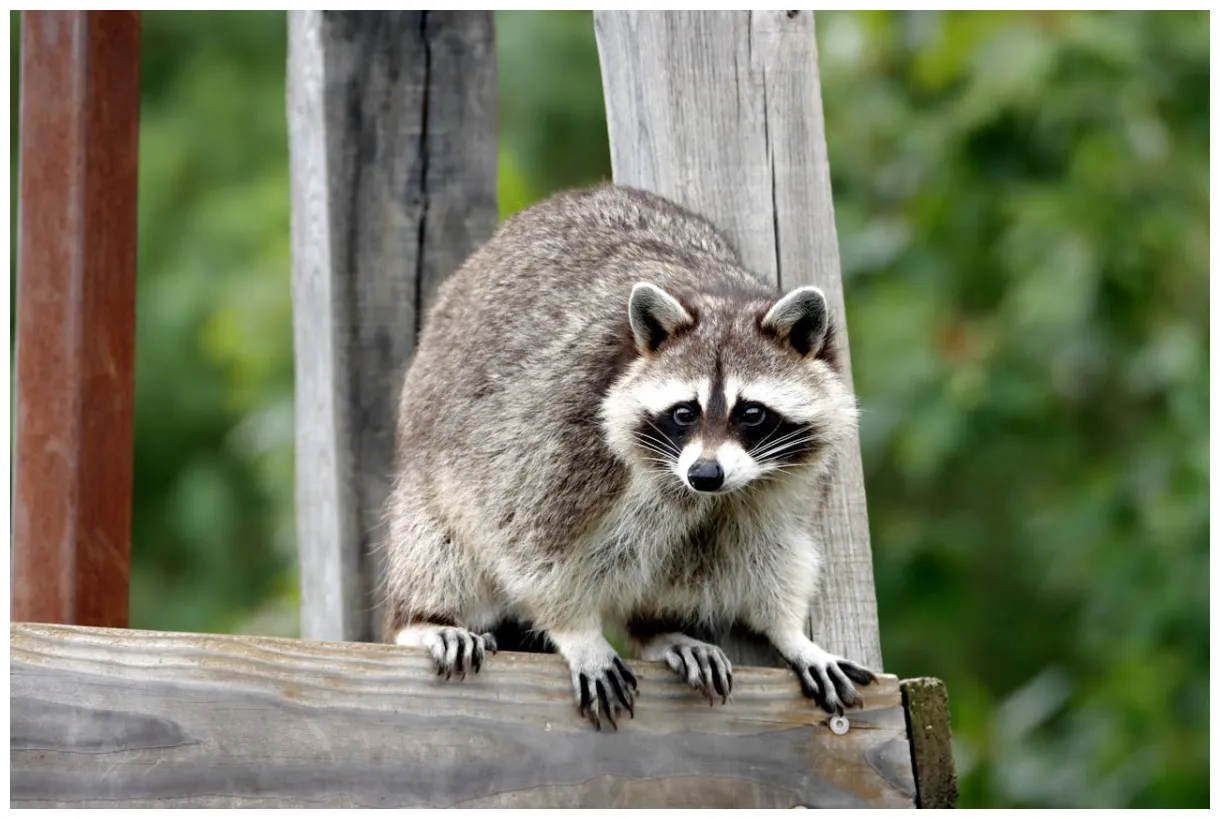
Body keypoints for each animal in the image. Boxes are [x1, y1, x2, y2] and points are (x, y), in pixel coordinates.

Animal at [383, 184, 876, 729]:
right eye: (684, 412)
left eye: (751, 413)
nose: (705, 474)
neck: (719, 294)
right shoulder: (563, 433)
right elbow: (529, 545)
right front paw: (576, 630)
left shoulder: (781, 482)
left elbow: (774, 547)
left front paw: (788, 631)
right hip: (432, 470)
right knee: (439, 545)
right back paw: (423, 617)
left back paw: (658, 629)